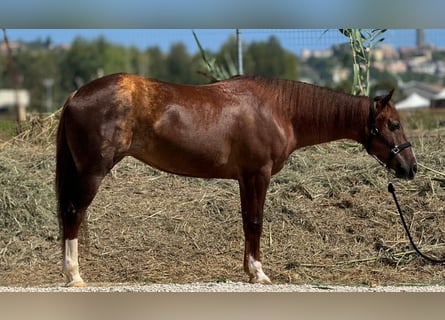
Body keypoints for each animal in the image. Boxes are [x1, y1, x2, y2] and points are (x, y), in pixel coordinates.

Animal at [55, 74, 416, 286]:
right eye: (394, 124)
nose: (410, 168)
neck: (279, 108)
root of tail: (75, 94)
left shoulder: (245, 178)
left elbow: (247, 223)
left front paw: (249, 270)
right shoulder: (258, 174)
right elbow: (256, 222)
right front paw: (259, 273)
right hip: (92, 171)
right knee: (73, 213)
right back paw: (74, 275)